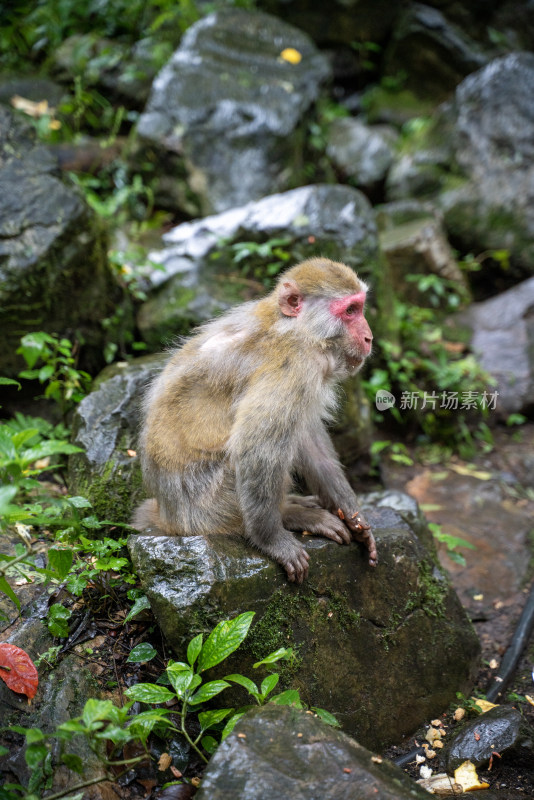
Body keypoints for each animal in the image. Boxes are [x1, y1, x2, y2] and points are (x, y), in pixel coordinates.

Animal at [133, 256, 376, 580]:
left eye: (360, 307)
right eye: (350, 311)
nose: (369, 337)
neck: (298, 329)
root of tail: (170, 517)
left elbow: (308, 438)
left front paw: (351, 512)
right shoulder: (294, 365)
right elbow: (257, 450)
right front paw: (272, 541)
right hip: (213, 506)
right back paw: (291, 514)